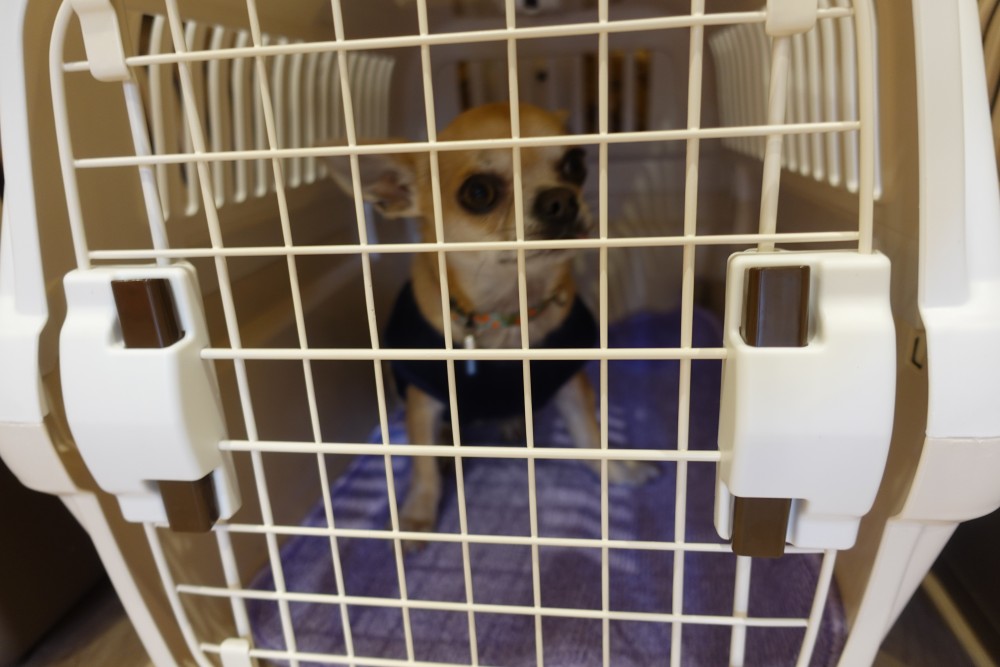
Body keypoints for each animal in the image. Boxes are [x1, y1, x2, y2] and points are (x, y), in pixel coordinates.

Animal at [328, 103, 657, 542]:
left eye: (575, 164)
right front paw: (417, 513)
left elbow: (590, 435)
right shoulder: (422, 398)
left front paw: (620, 471)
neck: (509, 311)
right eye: (479, 192)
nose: (561, 199)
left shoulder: (571, 383)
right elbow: (423, 464)